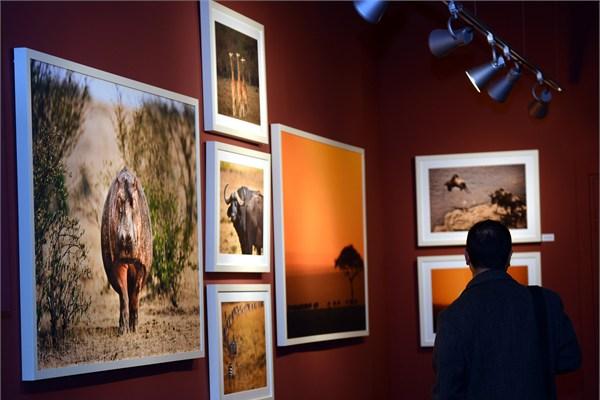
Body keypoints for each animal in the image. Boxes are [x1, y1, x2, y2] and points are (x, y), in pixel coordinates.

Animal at [101, 167, 152, 336]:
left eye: (134, 202)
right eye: (118, 199)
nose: (126, 237)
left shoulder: (140, 265)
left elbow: (135, 293)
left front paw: (134, 327)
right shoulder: (116, 264)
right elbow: (123, 294)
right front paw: (123, 330)